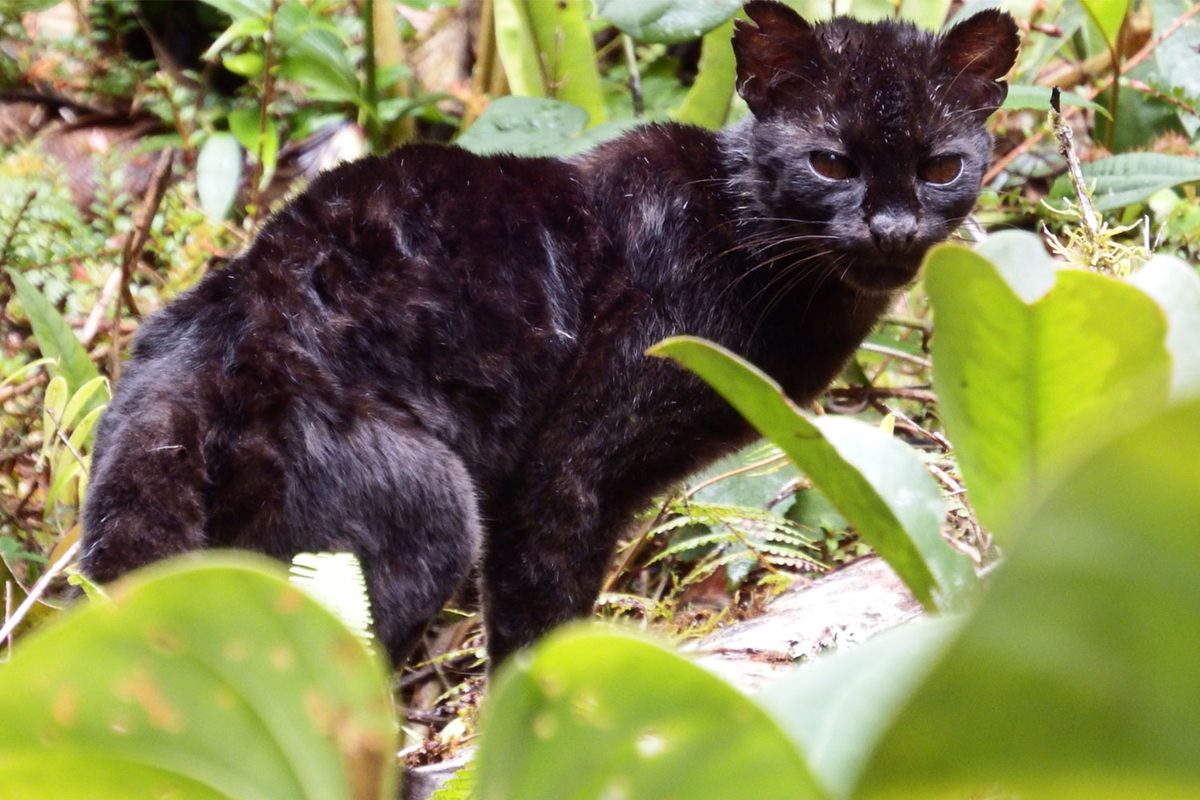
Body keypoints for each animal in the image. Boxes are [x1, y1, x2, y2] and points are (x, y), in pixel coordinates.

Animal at [82, 3, 1022, 666]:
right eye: (831, 162)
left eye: (941, 166)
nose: (892, 227)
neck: (739, 237)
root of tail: (217, 334)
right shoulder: (564, 471)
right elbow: (539, 623)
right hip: (426, 515)